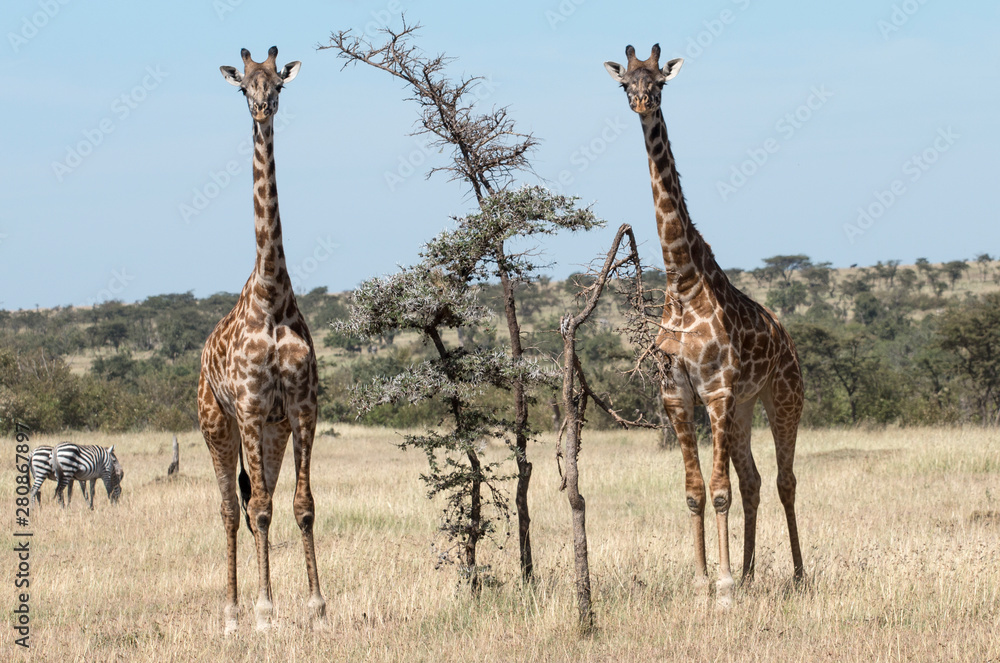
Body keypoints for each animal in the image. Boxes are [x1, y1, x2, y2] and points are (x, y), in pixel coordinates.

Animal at [604, 44, 805, 605]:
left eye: (660, 82)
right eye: (625, 83)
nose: (643, 103)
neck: (683, 282)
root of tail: (786, 339)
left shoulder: (714, 391)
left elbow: (719, 492)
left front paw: (725, 587)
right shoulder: (677, 394)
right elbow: (695, 492)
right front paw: (701, 582)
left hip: (783, 398)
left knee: (784, 480)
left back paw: (796, 575)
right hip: (743, 408)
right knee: (754, 479)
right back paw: (754, 571)